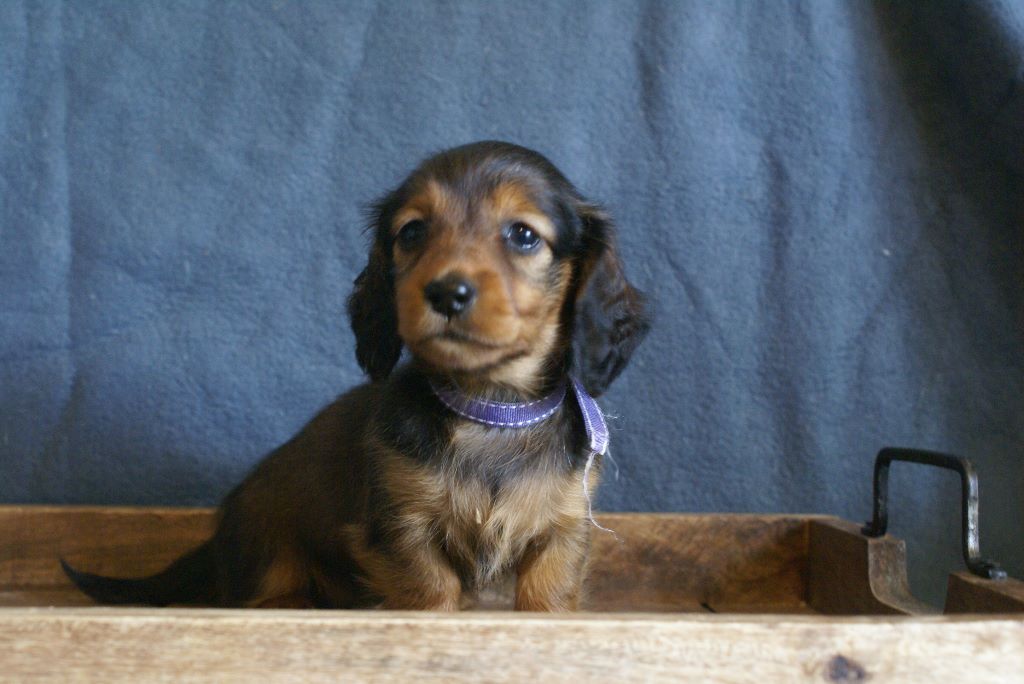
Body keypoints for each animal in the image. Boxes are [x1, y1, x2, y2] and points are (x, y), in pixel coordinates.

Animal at [62, 141, 649, 611]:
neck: (489, 409)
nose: (446, 292)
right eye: (412, 231)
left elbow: (547, 600)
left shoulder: (562, 531)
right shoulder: (401, 527)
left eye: (523, 235)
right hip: (270, 539)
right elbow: (431, 593)